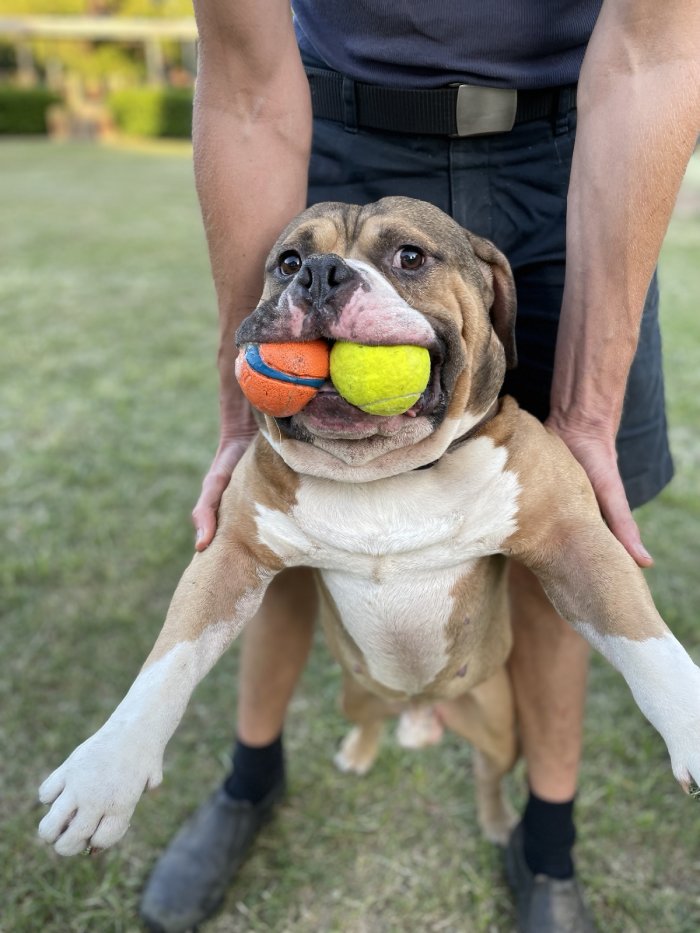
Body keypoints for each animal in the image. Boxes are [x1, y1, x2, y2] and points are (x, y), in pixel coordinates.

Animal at [37, 198, 700, 860]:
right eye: (289, 261)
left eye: (410, 257)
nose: (321, 274)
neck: (383, 474)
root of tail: (421, 705)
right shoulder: (231, 555)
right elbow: (169, 660)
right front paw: (105, 773)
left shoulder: (576, 540)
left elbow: (646, 642)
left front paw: (690, 725)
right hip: (358, 692)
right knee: (370, 719)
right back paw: (359, 751)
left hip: (499, 725)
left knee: (488, 775)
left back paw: (495, 821)